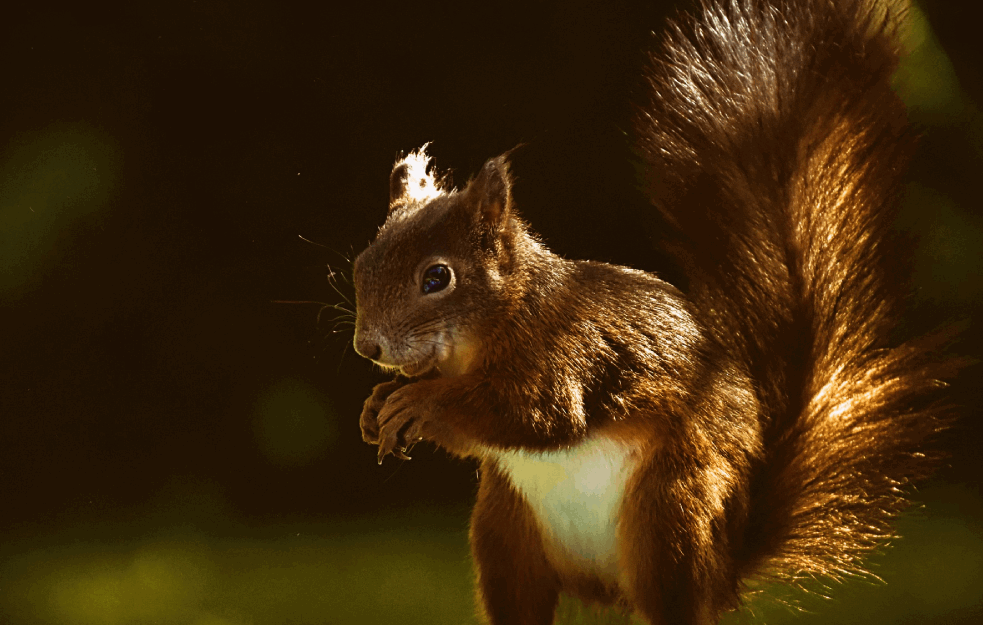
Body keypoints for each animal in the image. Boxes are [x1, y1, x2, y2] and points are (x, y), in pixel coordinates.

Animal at [350, 0, 956, 620]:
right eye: (362, 261)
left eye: (437, 277)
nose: (367, 347)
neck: (491, 330)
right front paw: (377, 404)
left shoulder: (567, 350)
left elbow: (533, 415)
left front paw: (421, 402)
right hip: (505, 533)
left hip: (670, 519)